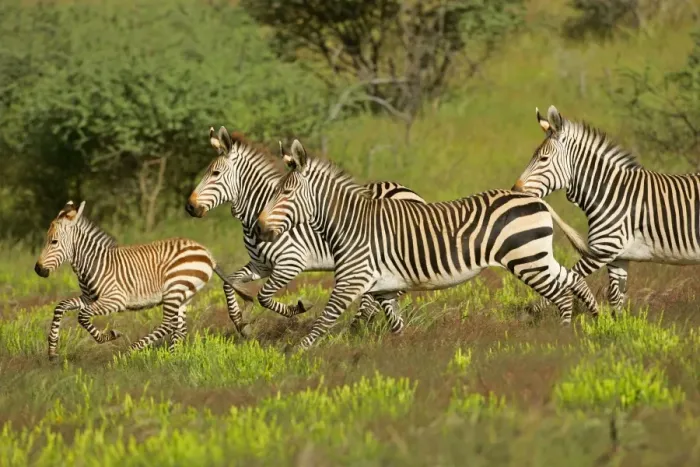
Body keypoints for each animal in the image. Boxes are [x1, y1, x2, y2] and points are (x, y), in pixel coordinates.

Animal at [34, 200, 254, 361]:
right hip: (184, 293)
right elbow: (60, 306)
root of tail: (206, 252)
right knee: (179, 327)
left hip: (174, 288)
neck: (95, 262)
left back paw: (133, 351)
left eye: (54, 242)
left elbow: (82, 316)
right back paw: (173, 357)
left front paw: (109, 336)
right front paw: (52, 351)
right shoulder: (89, 297)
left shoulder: (115, 299)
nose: (38, 270)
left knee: (169, 324)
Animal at [185, 127, 427, 332]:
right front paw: (239, 322)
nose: (189, 207)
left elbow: (264, 296)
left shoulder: (290, 263)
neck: (260, 211)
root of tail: (408, 191)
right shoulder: (260, 265)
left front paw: (297, 308)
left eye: (215, 174)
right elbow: (229, 284)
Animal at [253, 139, 600, 350]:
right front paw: (403, 355)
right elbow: (395, 323)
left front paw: (294, 353)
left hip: (527, 260)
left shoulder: (352, 279)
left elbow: (324, 320)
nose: (258, 227)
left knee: (561, 294)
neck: (352, 224)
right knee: (570, 278)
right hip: (537, 256)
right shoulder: (383, 286)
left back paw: (564, 338)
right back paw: (597, 317)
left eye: (285, 193)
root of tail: (535, 198)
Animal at [513, 105, 700, 314]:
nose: (515, 190)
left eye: (544, 158)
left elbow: (569, 279)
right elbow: (615, 299)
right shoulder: (618, 257)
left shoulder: (603, 250)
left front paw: (529, 312)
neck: (612, 193)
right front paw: (616, 322)